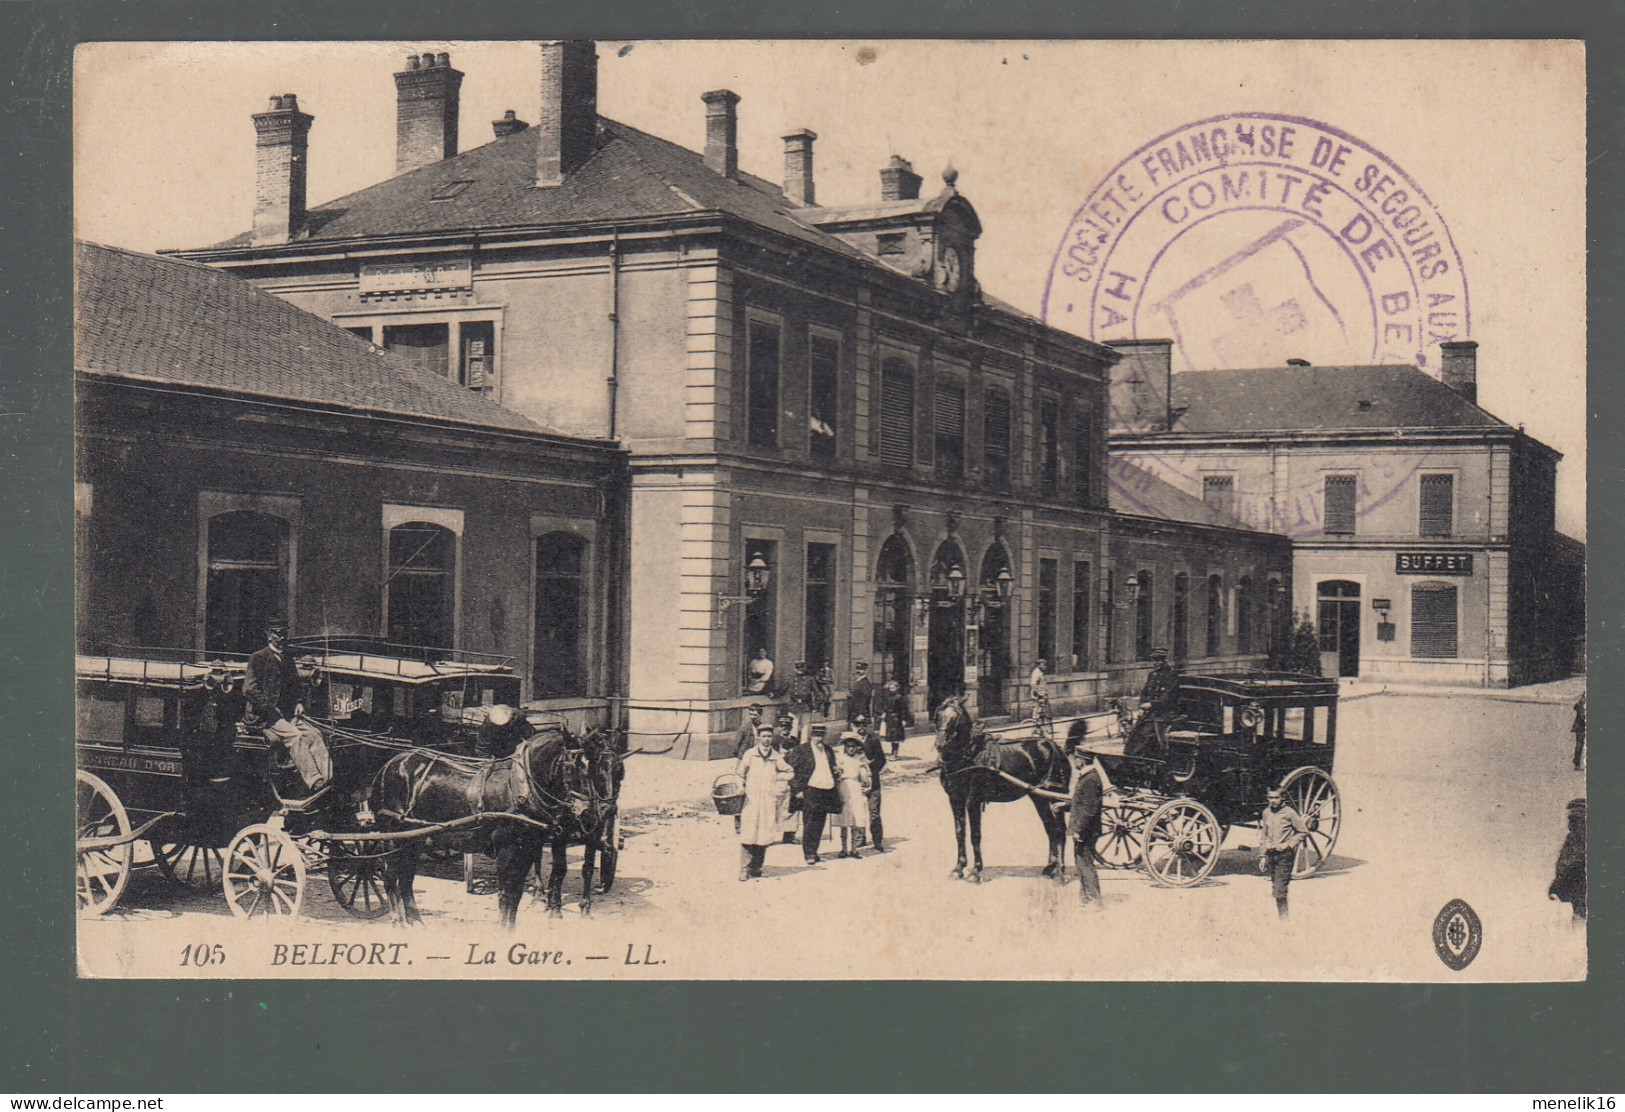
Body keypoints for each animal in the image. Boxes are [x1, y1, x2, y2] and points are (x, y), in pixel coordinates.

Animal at [936, 695, 1072, 884]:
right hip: (1039, 798)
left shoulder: (973, 799)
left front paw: (975, 871)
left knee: (1060, 830)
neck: (968, 754)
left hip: (1054, 796)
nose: (940, 744)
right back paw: (1050, 868)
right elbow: (959, 832)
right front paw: (958, 868)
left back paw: (1060, 871)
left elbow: (975, 834)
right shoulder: (955, 798)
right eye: (939, 714)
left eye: (956, 716)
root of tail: (1056, 747)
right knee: (1050, 828)